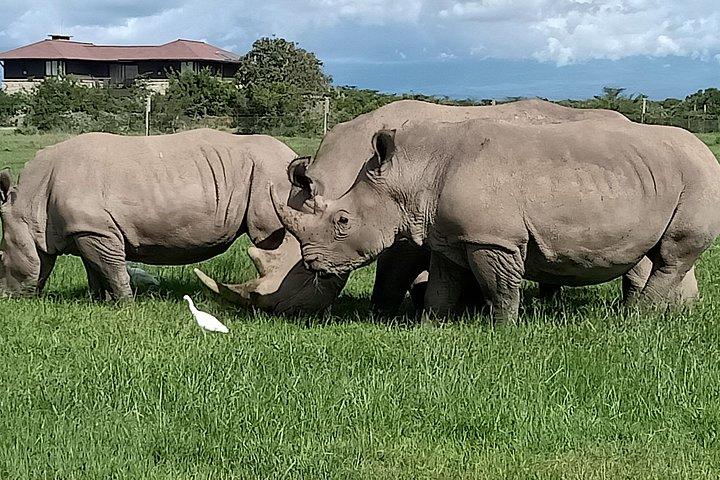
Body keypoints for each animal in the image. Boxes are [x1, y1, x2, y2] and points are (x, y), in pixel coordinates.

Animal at [0, 128, 343, 307]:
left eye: (1, 258)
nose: (6, 298)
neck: (30, 199)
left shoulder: (94, 229)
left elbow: (112, 268)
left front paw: (125, 305)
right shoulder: (87, 229)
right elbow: (95, 269)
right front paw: (99, 302)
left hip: (272, 177)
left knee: (274, 241)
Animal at [272, 118, 720, 322]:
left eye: (343, 221)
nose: (312, 264)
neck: (412, 174)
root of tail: (705, 151)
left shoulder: (492, 238)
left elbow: (499, 286)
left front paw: (502, 327)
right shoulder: (447, 236)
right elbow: (442, 284)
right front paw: (430, 324)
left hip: (699, 177)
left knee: (672, 255)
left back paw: (637, 320)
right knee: (649, 252)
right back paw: (640, 314)